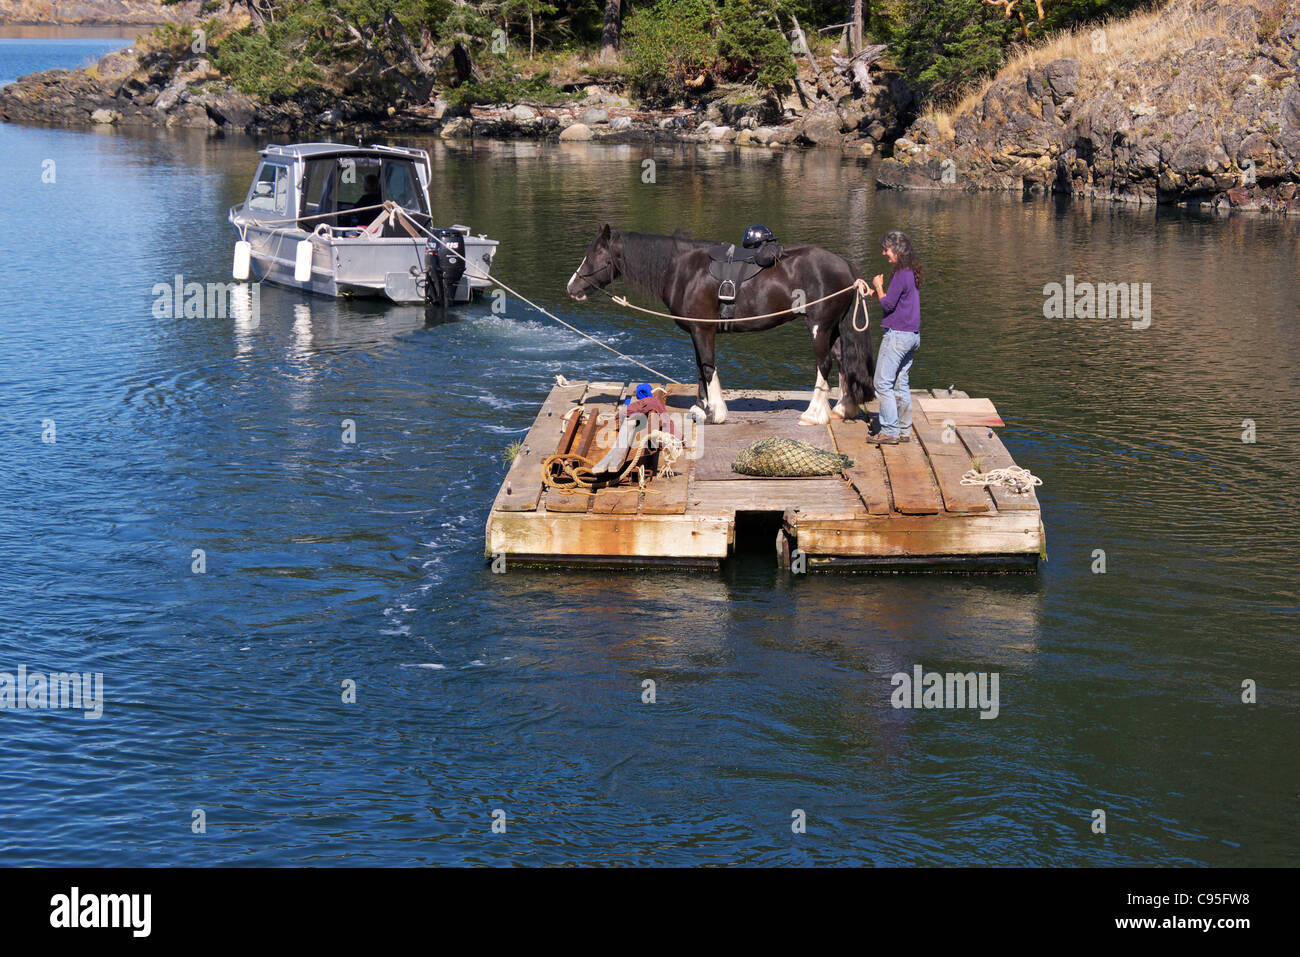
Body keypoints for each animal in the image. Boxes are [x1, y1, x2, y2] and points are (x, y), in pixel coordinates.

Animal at [565, 223, 874, 426]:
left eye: (595, 256)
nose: (572, 287)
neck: (683, 269)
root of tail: (846, 268)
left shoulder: (704, 330)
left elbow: (708, 367)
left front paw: (715, 411)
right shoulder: (696, 331)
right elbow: (699, 368)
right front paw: (701, 408)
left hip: (819, 326)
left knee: (824, 364)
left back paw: (814, 414)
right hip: (833, 328)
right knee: (842, 360)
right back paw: (842, 408)